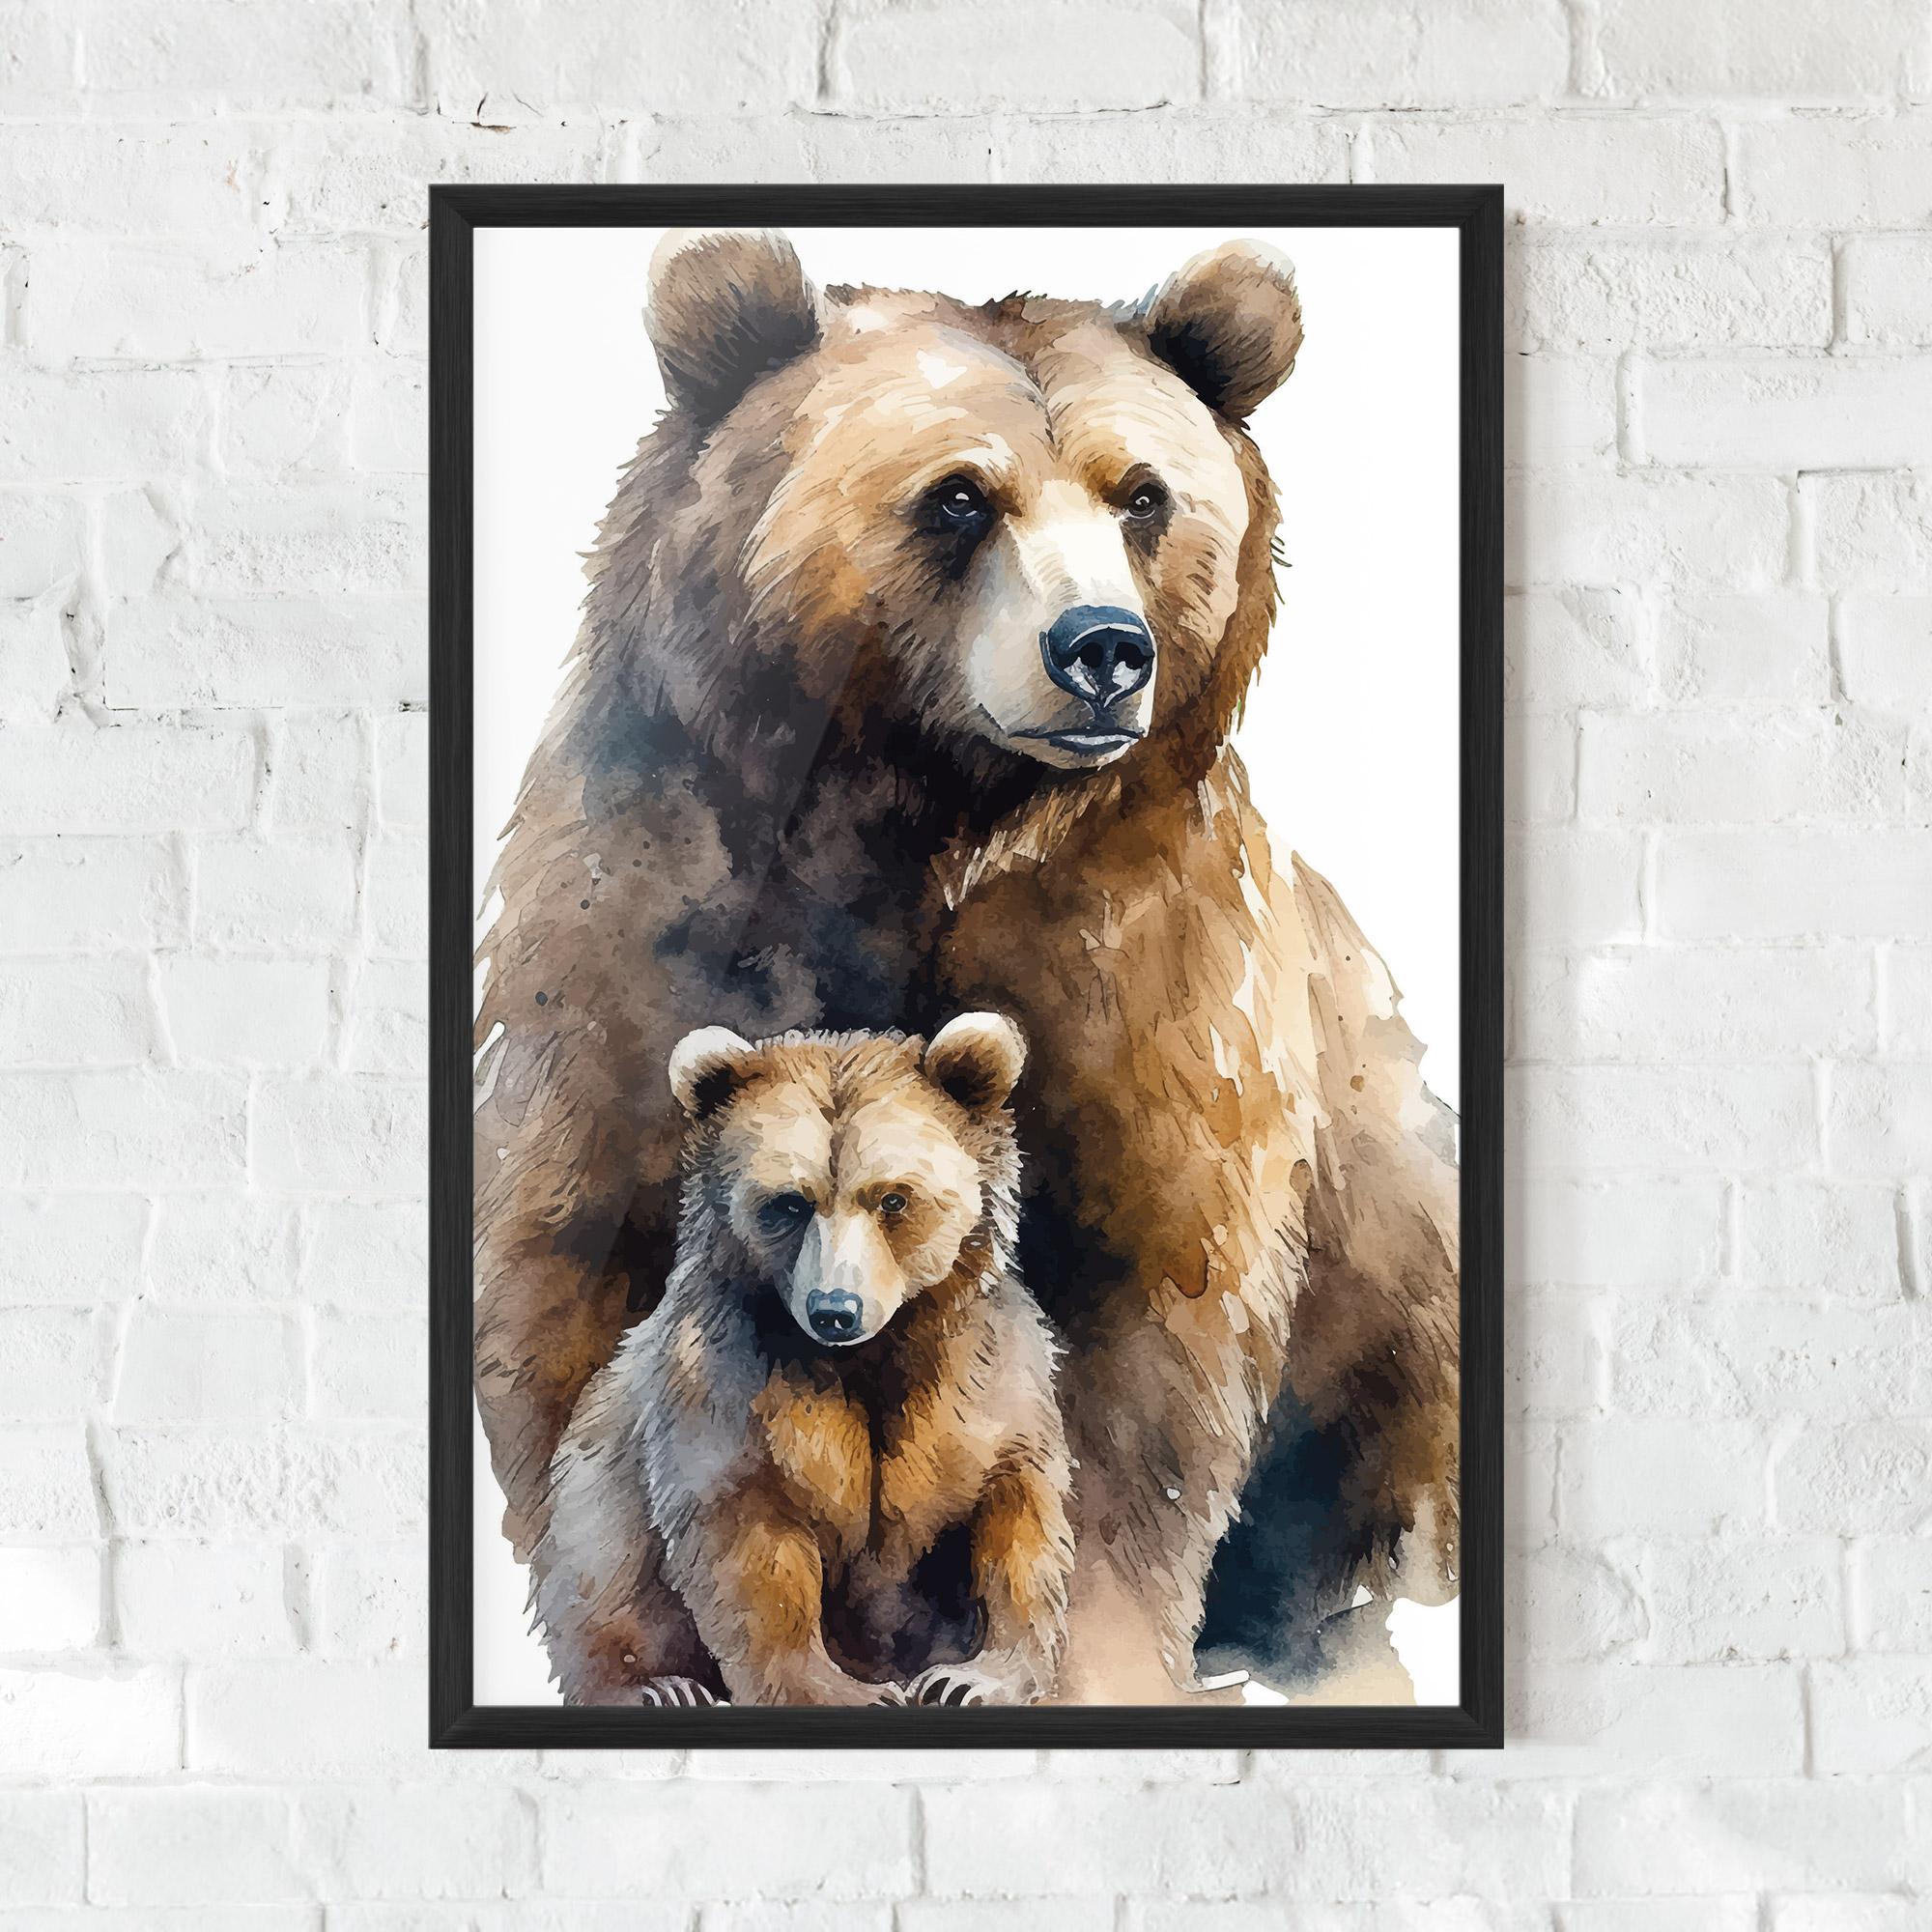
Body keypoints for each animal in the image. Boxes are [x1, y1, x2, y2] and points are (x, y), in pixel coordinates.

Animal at [531, 1012, 1074, 1709]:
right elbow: (753, 1548)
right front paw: (844, 1691)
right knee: (599, 1570)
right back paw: (657, 1686)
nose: (834, 1309)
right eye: (788, 1202)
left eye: (893, 1199)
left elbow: (1017, 1519)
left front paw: (973, 1677)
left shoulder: (984, 1380)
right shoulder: (728, 1391)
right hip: (594, 1476)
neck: (870, 1357)